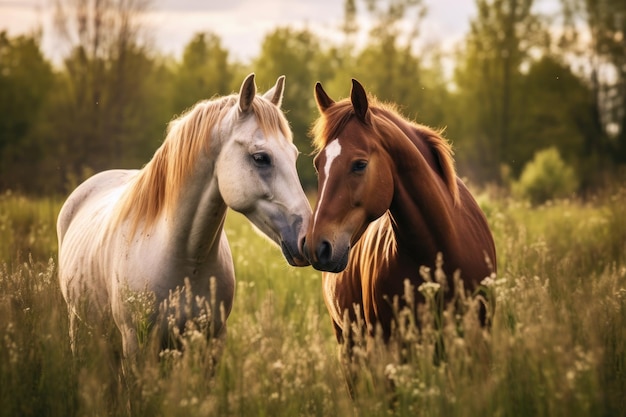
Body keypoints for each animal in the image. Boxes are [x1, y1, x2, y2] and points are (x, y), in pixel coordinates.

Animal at [57, 73, 310, 360]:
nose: (307, 237)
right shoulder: (136, 345)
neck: (185, 259)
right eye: (260, 158)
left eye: (294, 155)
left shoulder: (212, 342)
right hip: (79, 324)